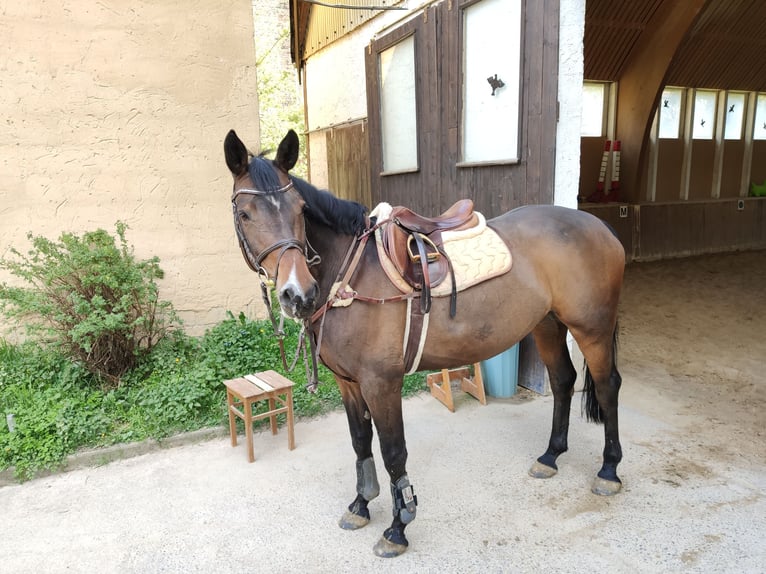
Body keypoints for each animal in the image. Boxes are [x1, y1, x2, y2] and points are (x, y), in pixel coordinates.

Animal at [220, 129, 624, 560]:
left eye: (299, 209)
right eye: (245, 214)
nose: (298, 294)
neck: (351, 273)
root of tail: (601, 227)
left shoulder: (382, 383)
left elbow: (393, 452)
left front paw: (399, 527)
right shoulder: (349, 383)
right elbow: (360, 442)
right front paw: (361, 504)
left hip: (592, 329)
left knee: (607, 386)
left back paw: (609, 470)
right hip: (547, 325)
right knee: (563, 381)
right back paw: (550, 456)